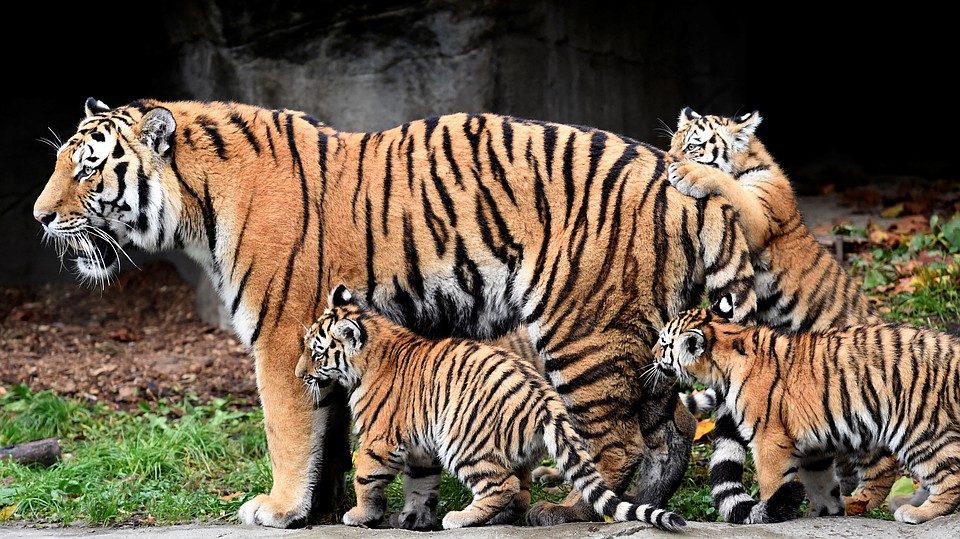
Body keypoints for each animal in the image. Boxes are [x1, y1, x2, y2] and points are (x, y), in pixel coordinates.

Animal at [296, 285, 687, 531]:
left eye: (316, 351)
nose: (300, 374)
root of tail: (542, 397)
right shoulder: (421, 449)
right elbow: (420, 486)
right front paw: (413, 519)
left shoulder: (379, 440)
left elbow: (365, 478)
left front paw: (360, 515)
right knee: (519, 491)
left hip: (462, 440)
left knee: (503, 485)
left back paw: (460, 518)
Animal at [653, 295, 960, 525]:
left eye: (665, 343)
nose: (653, 354)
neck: (728, 344)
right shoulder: (814, 446)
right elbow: (820, 484)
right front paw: (823, 512)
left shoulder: (769, 439)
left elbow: (772, 482)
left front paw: (773, 511)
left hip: (919, 428)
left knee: (947, 477)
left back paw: (914, 511)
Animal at [667, 108, 898, 522]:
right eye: (671, 142)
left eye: (692, 145)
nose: (667, 160)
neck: (750, 162)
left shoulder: (757, 213)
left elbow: (726, 184)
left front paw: (689, 174)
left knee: (884, 464)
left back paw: (865, 504)